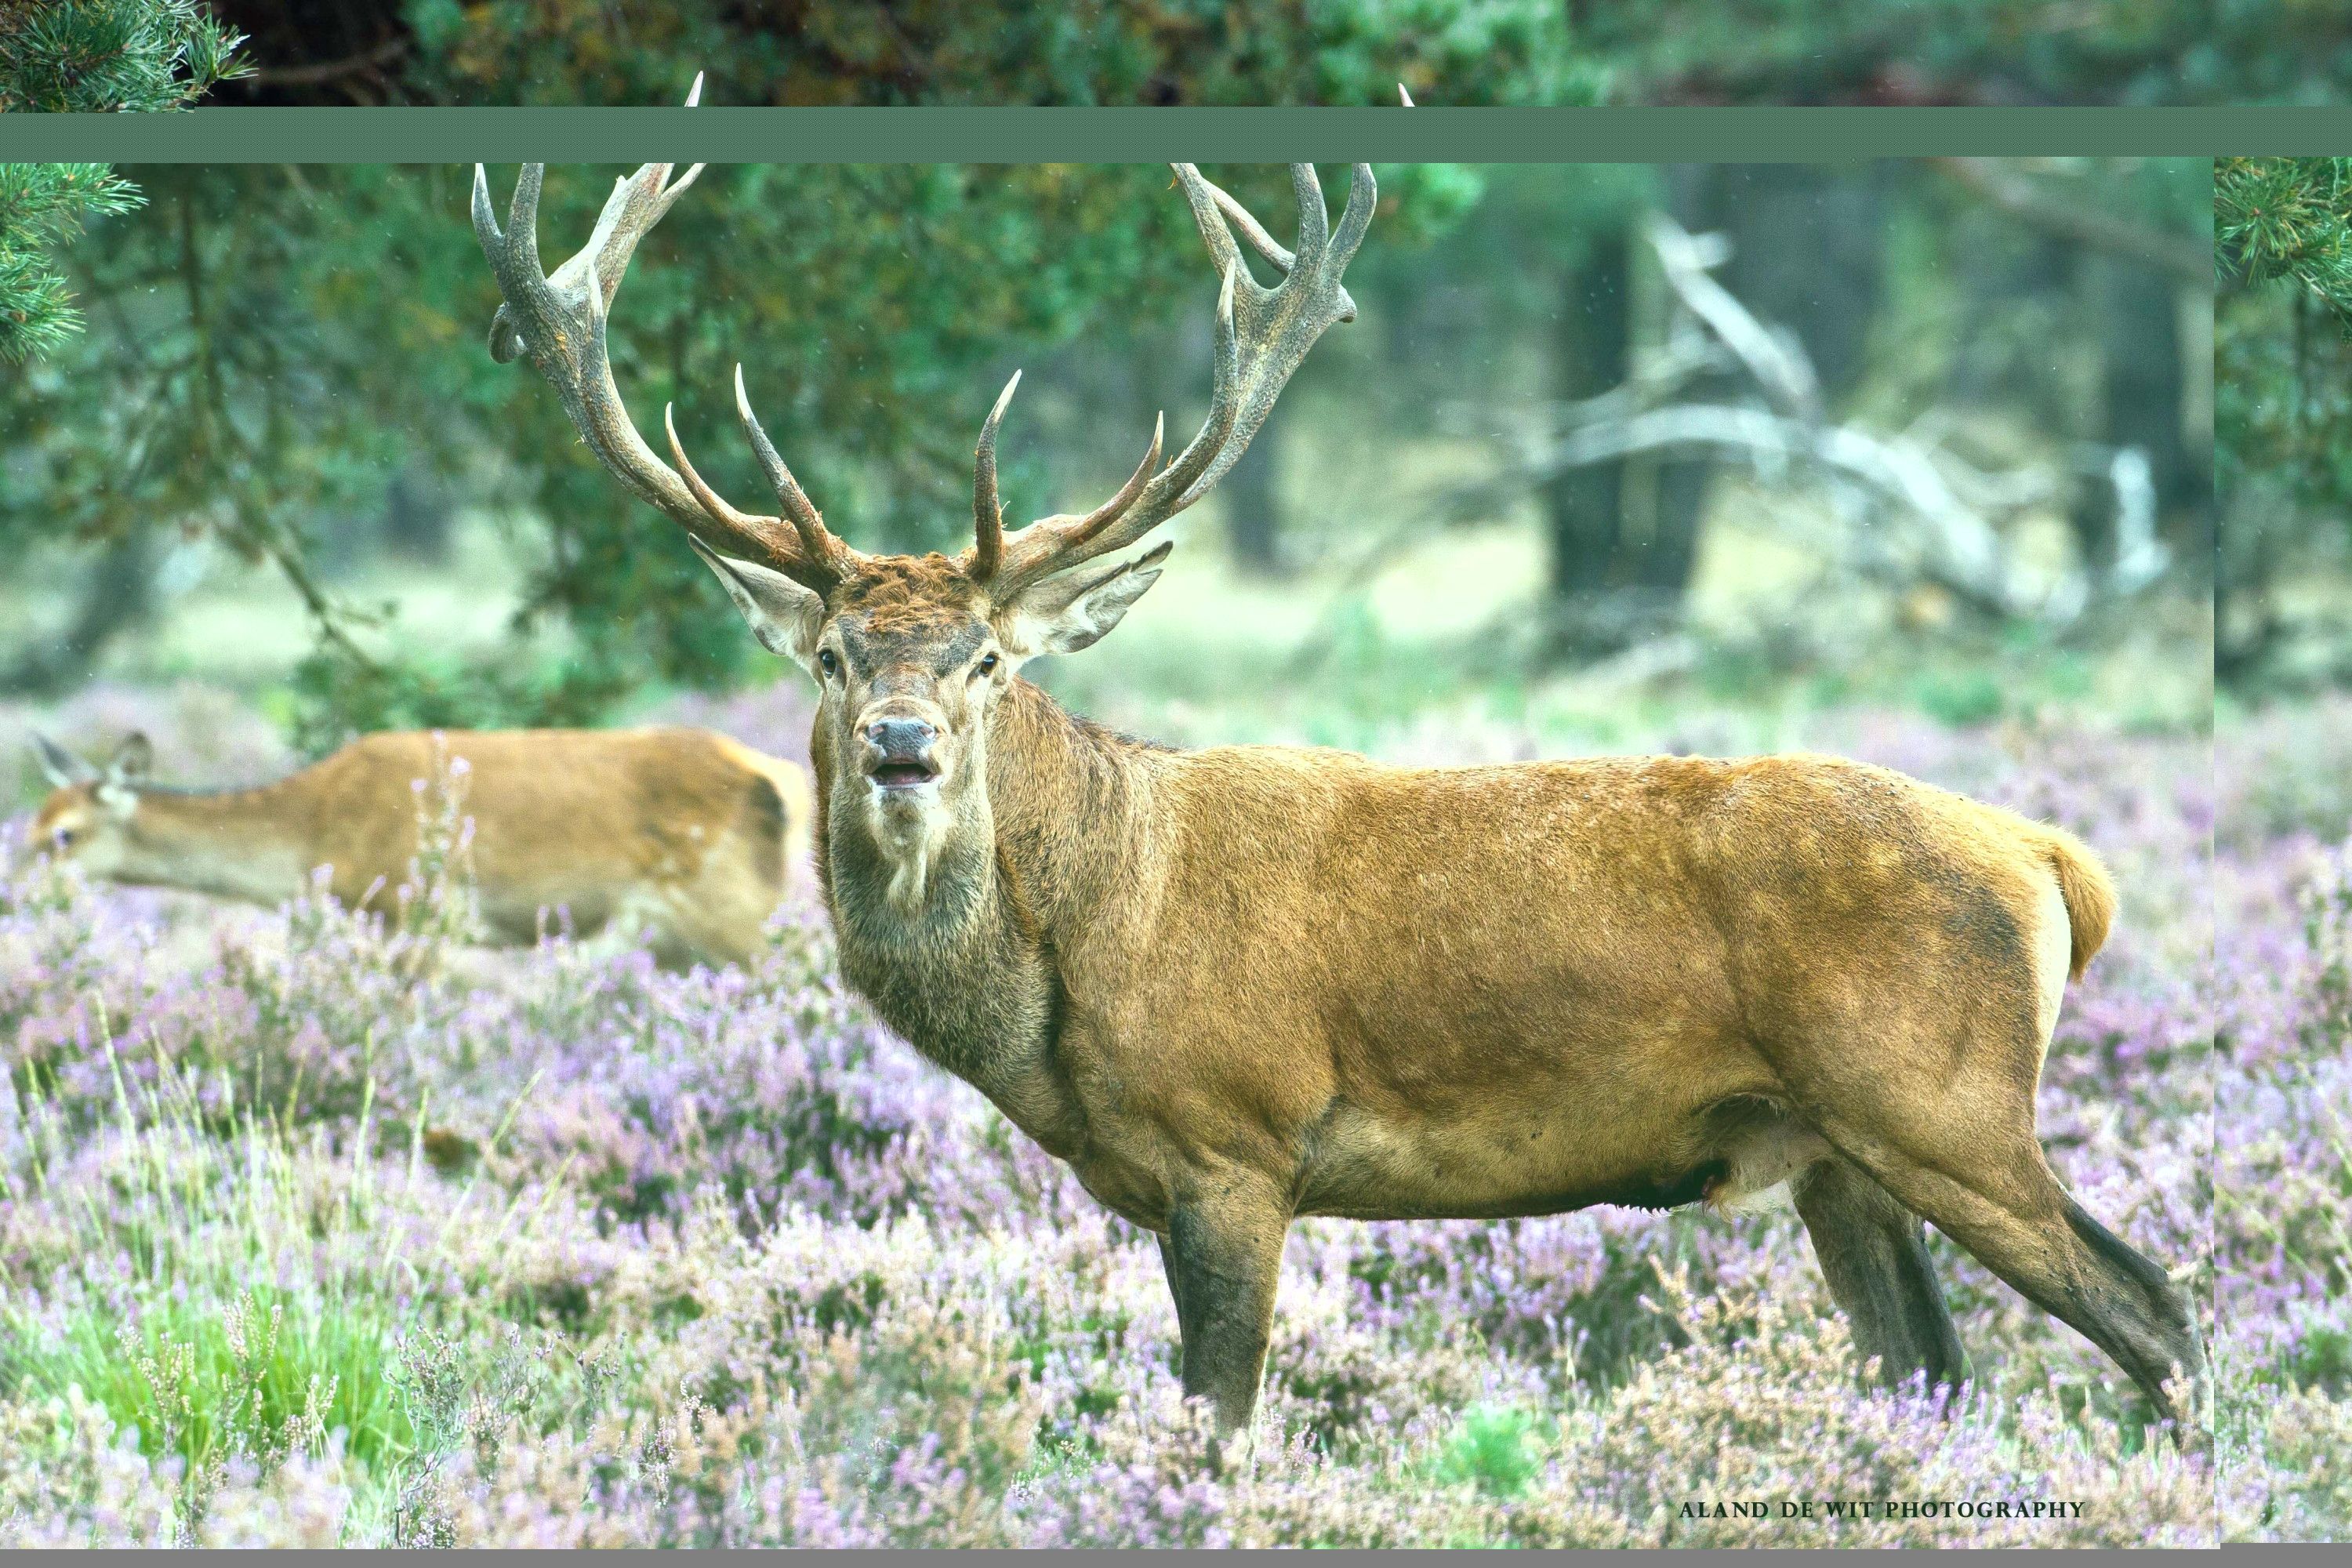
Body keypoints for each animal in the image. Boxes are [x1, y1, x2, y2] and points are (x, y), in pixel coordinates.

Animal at [29, 726, 812, 971]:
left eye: (63, 837)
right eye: (31, 827)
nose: (20, 902)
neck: (313, 837)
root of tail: (782, 780)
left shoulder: (413, 904)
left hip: (736, 911)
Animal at [473, 155, 2209, 1454]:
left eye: (984, 659)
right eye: (833, 656)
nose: (900, 747)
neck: (1068, 977)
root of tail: (2055, 860)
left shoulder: (1235, 1139)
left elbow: (1220, 1418)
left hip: (1940, 1098)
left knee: (2160, 1312)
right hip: (1839, 1148)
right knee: (1931, 1368)